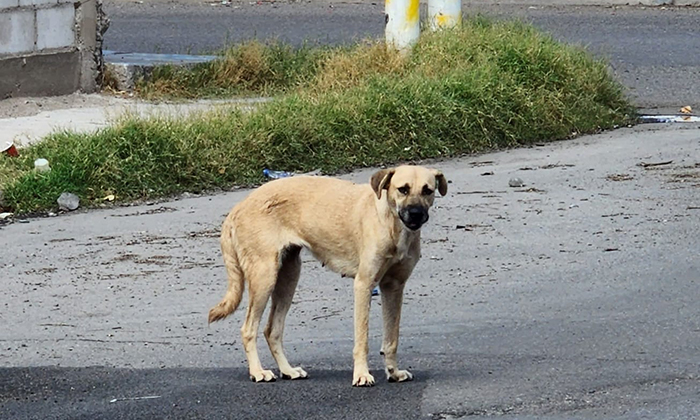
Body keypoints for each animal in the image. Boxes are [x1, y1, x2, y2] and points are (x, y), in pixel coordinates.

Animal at [209, 165, 448, 388]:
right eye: (403, 189)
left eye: (427, 190)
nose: (416, 214)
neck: (391, 224)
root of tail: (238, 208)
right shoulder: (364, 285)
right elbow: (362, 339)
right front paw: (362, 374)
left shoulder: (393, 287)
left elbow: (392, 339)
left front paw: (394, 372)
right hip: (264, 277)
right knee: (248, 329)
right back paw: (258, 372)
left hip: (288, 277)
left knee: (272, 330)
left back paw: (288, 370)